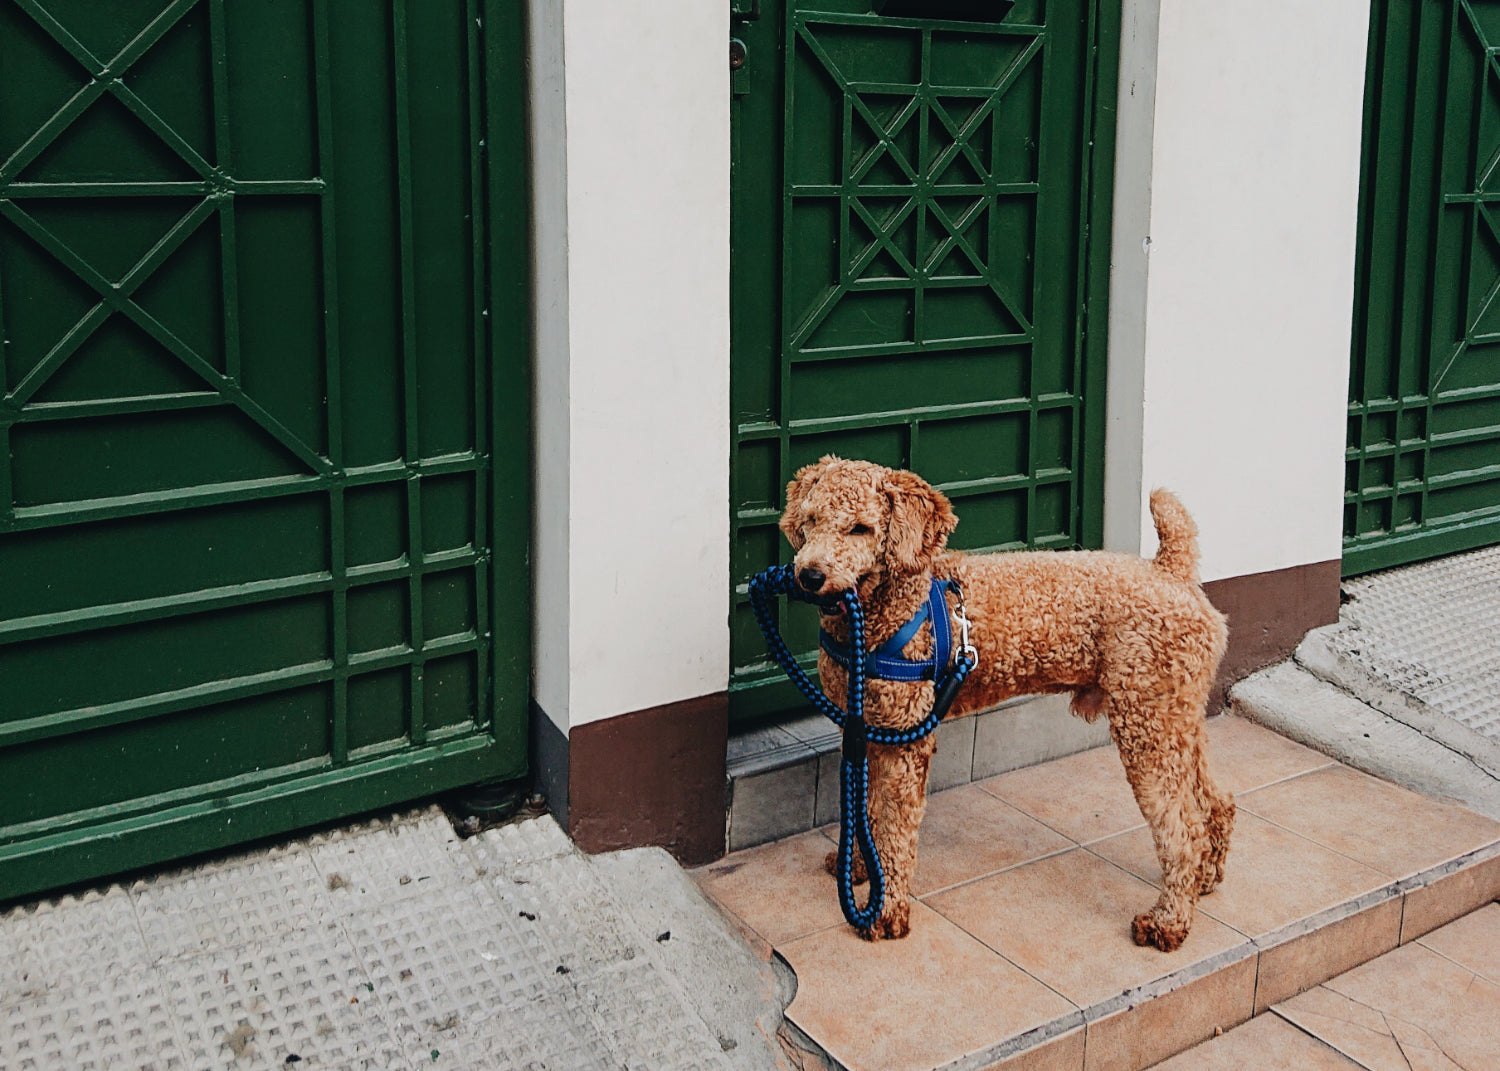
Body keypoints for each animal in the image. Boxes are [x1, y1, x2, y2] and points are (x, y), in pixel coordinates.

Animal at [780, 456, 1236, 948]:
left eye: (861, 529)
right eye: (811, 520)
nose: (809, 576)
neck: (889, 613)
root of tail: (1172, 570)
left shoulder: (905, 739)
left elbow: (894, 829)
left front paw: (886, 908)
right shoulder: (862, 728)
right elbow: (865, 810)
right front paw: (859, 869)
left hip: (1145, 723)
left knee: (1182, 830)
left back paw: (1169, 920)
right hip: (1175, 715)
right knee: (1215, 801)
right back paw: (1205, 878)